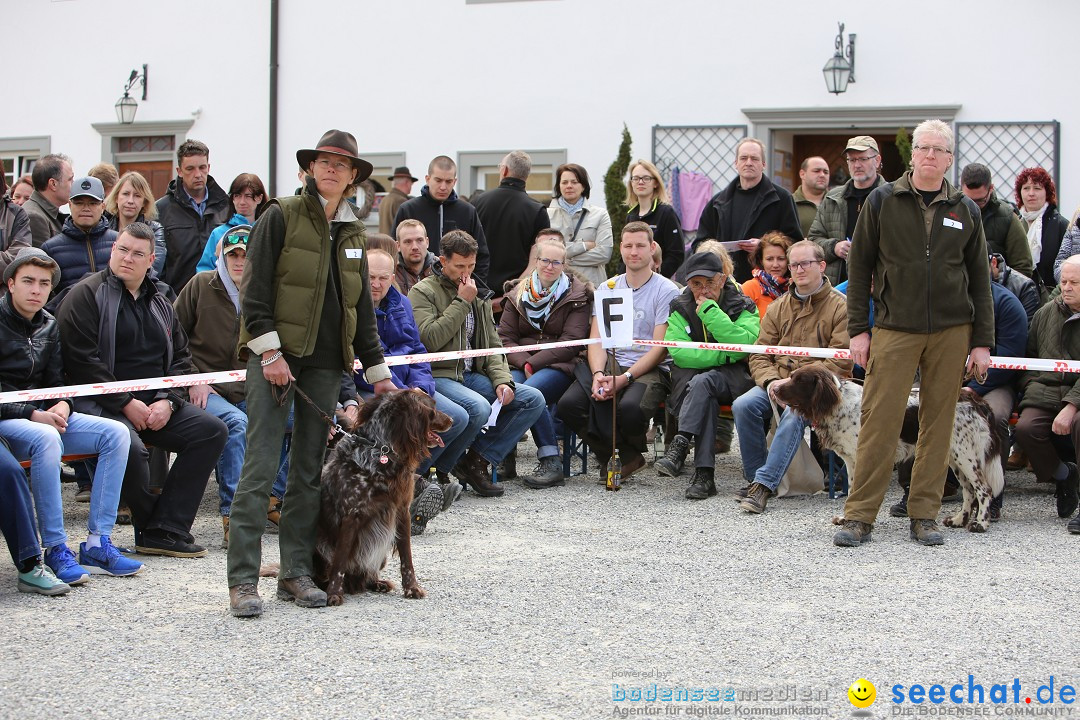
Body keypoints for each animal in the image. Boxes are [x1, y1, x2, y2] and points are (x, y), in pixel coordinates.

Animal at [313, 390, 451, 604]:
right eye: (433, 407)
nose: (451, 420)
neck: (381, 450)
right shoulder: (351, 516)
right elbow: (340, 560)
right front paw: (334, 593)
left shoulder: (402, 511)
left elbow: (407, 557)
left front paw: (412, 588)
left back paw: (378, 583)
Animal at [773, 369, 1006, 533]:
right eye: (792, 376)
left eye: (798, 380)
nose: (774, 389)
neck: (839, 403)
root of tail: (976, 400)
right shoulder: (850, 461)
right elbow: (853, 490)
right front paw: (848, 518)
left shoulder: (863, 456)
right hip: (954, 456)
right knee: (968, 490)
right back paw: (959, 520)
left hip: (966, 455)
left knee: (984, 489)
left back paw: (981, 524)